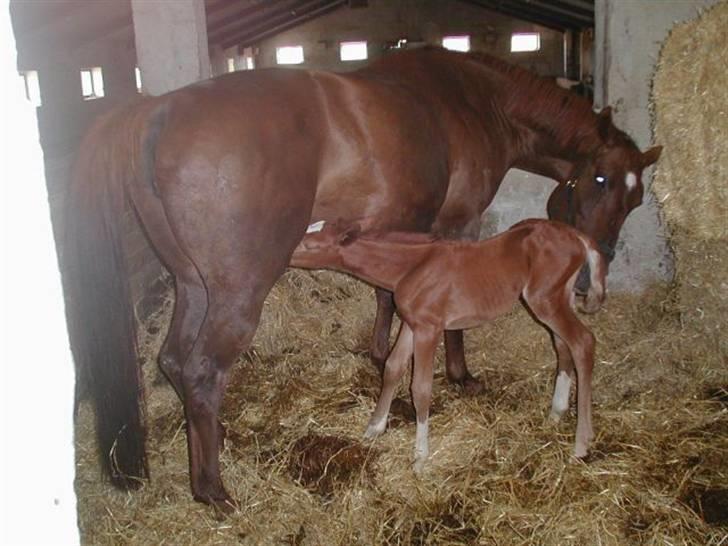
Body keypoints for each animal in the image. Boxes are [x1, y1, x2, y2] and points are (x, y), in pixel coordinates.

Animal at [292, 219, 604, 470]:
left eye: (309, 244)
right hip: (556, 300)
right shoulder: (411, 323)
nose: (283, 252)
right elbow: (393, 367)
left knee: (582, 342)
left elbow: (420, 388)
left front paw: (420, 458)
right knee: (562, 346)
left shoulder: (429, 329)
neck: (411, 268)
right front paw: (373, 429)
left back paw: (581, 444)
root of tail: (577, 236)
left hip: (546, 301)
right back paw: (556, 413)